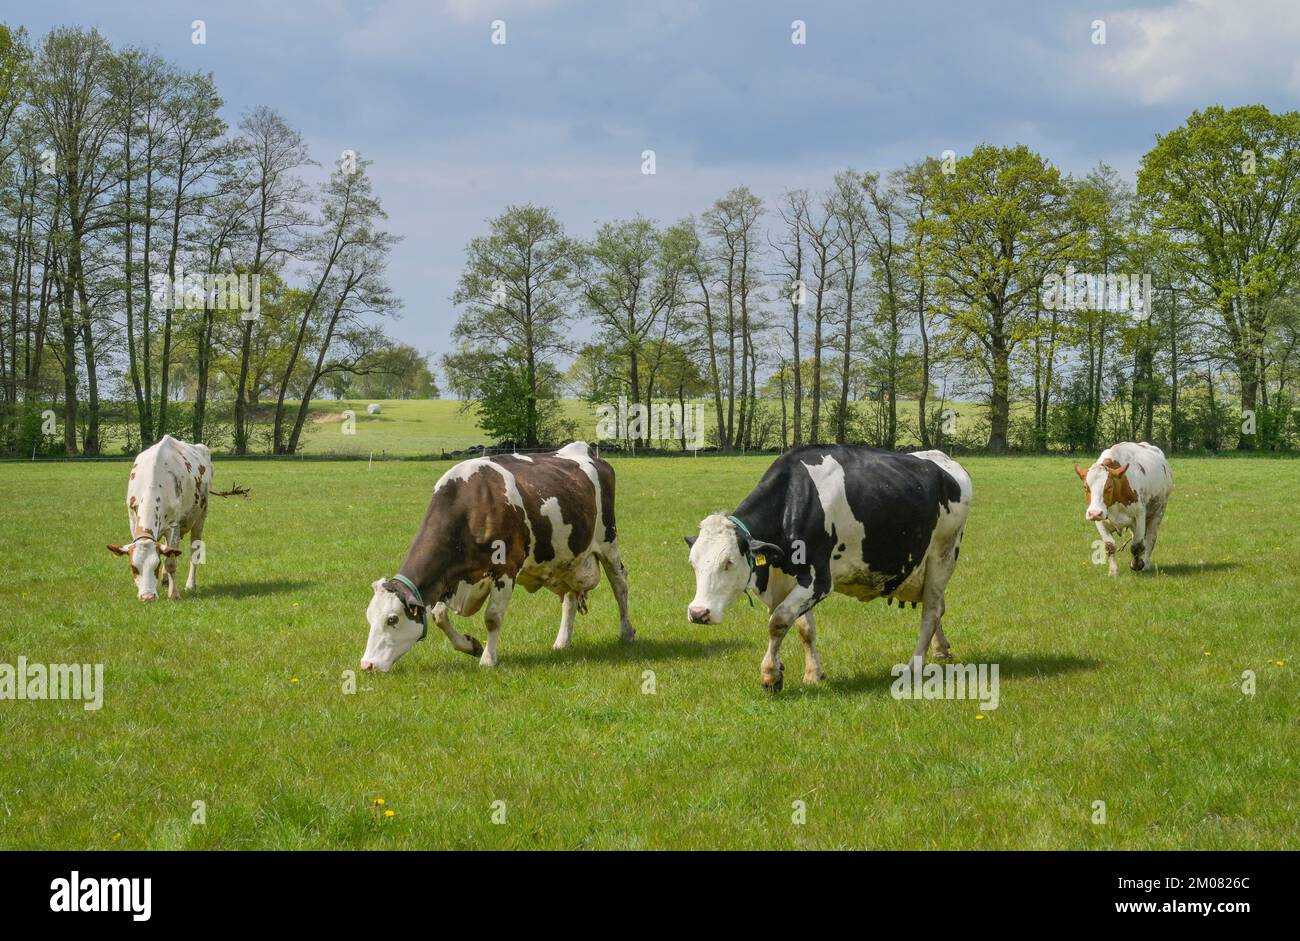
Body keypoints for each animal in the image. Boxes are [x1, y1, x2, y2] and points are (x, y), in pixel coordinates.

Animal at [109, 436, 213, 597]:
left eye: (156, 566)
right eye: (133, 567)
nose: (148, 597)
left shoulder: (174, 526)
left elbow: (170, 562)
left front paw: (174, 594)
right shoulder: (133, 522)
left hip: (200, 517)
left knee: (194, 551)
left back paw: (190, 584)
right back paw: (165, 580)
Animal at [361, 441, 634, 670]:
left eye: (392, 619)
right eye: (369, 618)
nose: (367, 665)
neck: (471, 506)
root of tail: (584, 450)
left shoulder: (506, 568)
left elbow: (492, 617)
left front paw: (488, 659)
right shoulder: (452, 577)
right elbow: (439, 616)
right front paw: (470, 645)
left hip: (608, 541)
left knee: (619, 584)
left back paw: (627, 632)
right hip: (565, 560)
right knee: (570, 598)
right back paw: (561, 642)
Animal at [686, 444, 972, 686]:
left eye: (729, 562)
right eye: (693, 563)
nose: (698, 613)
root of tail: (942, 458)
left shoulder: (819, 580)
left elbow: (778, 621)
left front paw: (770, 675)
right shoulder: (793, 580)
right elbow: (804, 628)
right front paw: (813, 673)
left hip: (942, 555)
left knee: (931, 611)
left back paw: (914, 667)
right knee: (937, 606)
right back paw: (941, 651)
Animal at [1071, 439, 1175, 574]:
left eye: (1109, 486)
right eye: (1085, 487)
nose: (1094, 513)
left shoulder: (1140, 515)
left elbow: (1136, 546)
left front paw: (1137, 564)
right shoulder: (1100, 521)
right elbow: (1110, 545)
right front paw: (1113, 571)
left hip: (1158, 511)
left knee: (1150, 539)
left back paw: (1146, 564)